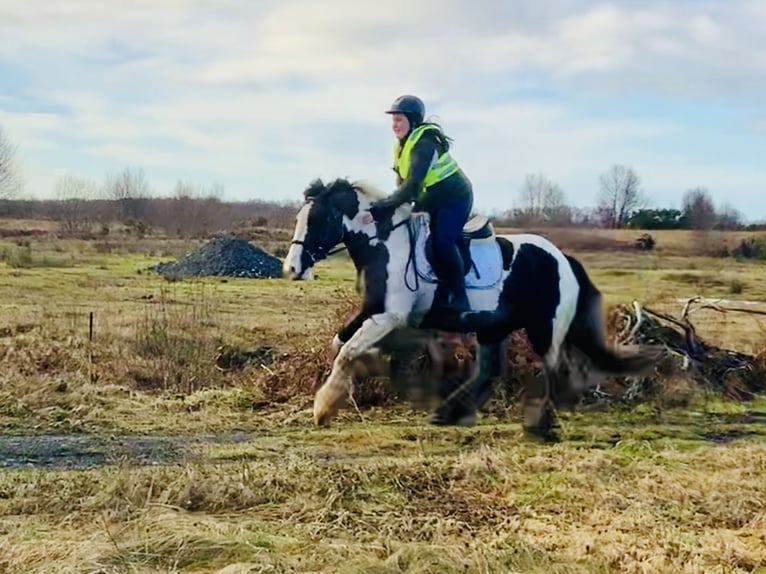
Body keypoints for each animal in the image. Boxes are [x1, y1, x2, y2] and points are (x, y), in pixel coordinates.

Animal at [282, 178, 660, 434]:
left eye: (317, 220)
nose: (292, 268)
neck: (387, 244)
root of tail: (562, 258)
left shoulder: (388, 316)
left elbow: (347, 351)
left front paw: (323, 407)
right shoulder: (374, 312)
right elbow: (340, 344)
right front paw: (352, 382)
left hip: (545, 328)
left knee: (554, 368)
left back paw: (539, 424)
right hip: (494, 327)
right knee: (489, 371)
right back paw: (451, 413)